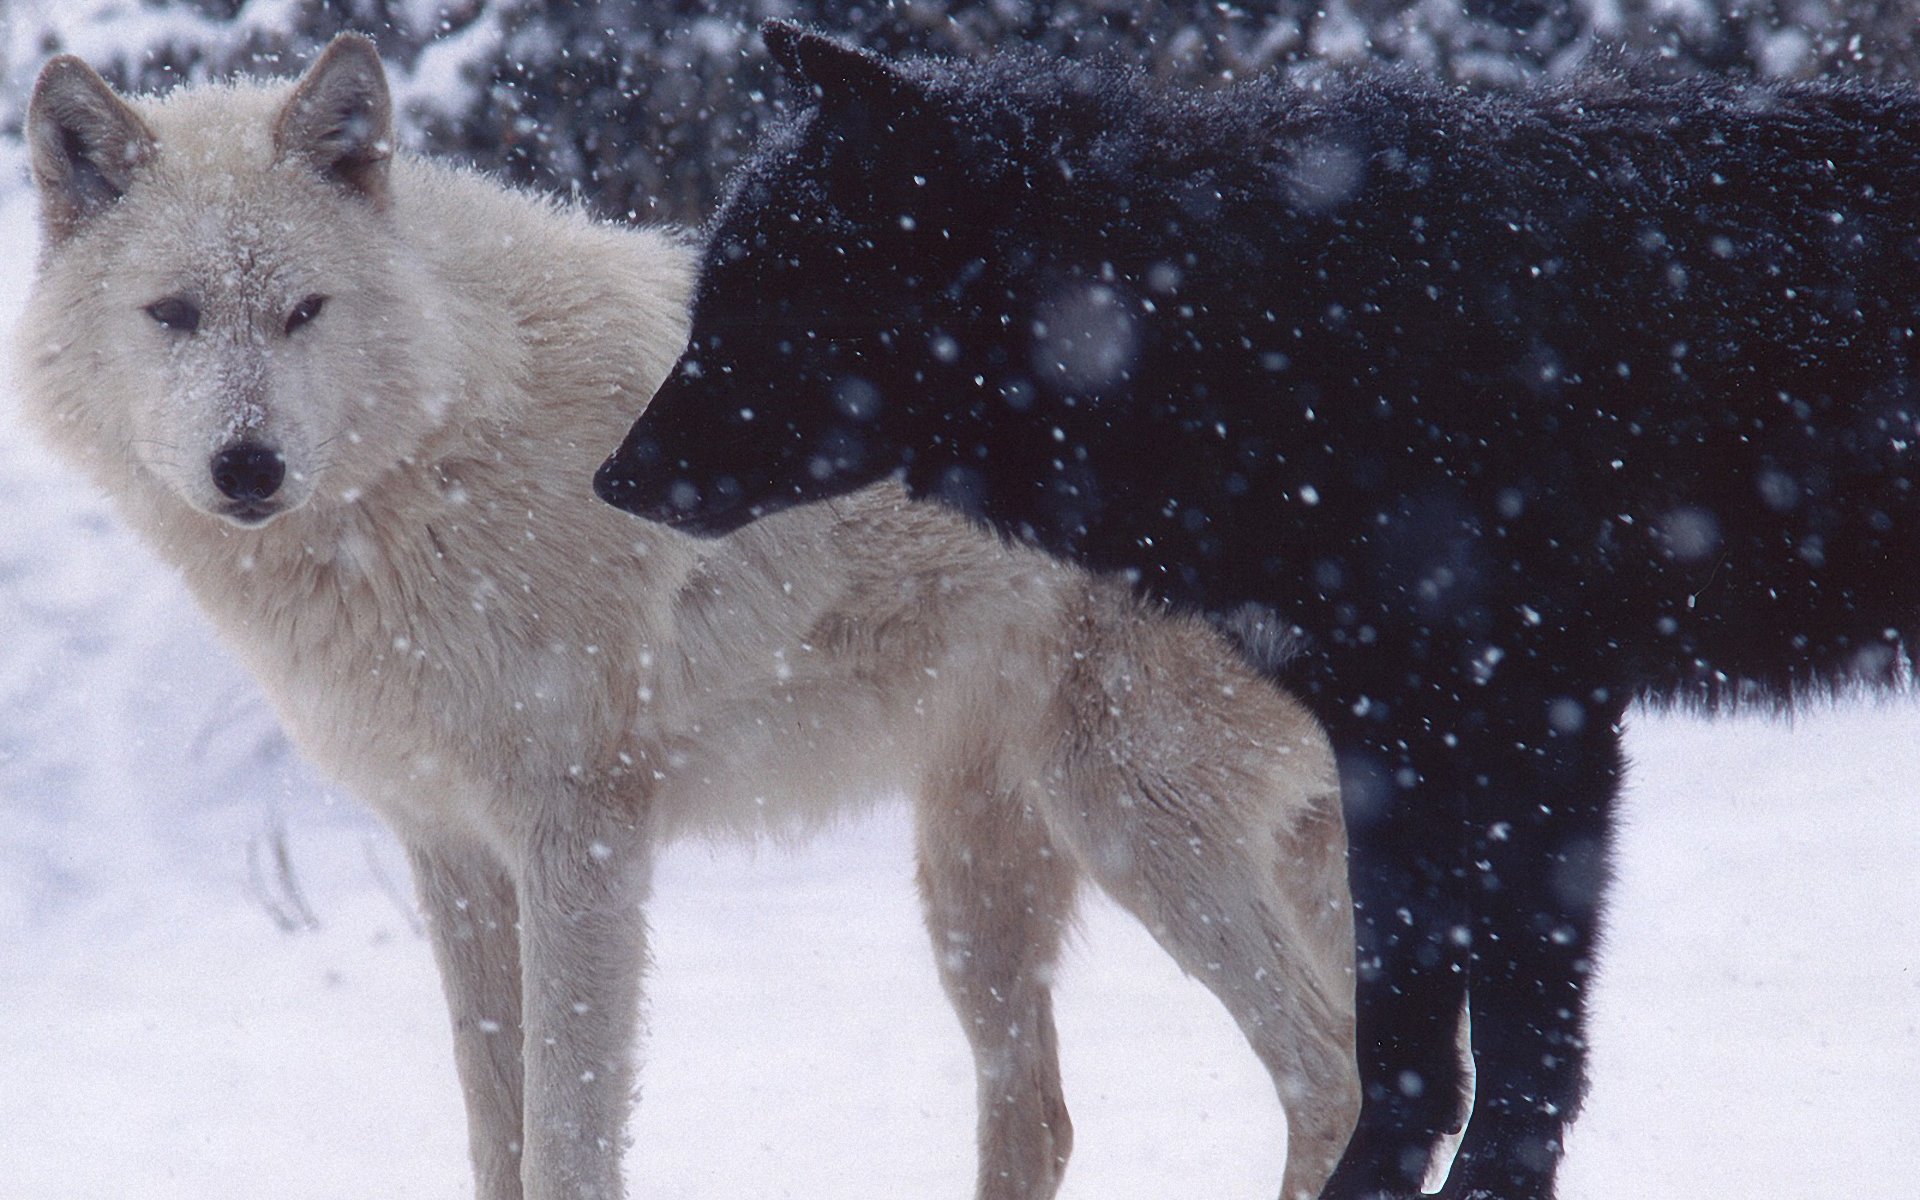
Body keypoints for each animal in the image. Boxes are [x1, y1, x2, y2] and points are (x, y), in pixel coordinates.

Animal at [18, 35, 1367, 1198]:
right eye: (174, 313)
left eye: (303, 311)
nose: (248, 467)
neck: (440, 452)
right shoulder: (450, 849)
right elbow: (494, 1134)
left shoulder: (582, 841)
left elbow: (565, 1144)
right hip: (985, 883)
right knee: (1051, 1119)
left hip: (1128, 819)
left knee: (1331, 1084)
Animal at [595, 21, 1920, 1198]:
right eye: (711, 296)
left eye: (763, 301)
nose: (609, 480)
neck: (1263, 325)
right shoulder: (1391, 741)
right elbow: (1404, 1043)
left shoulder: (1535, 723)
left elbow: (1521, 1045)